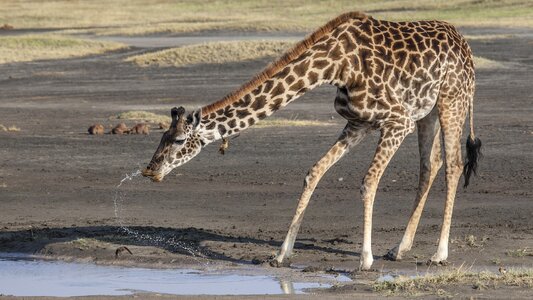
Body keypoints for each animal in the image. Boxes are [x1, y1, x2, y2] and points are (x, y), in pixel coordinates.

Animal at [141, 11, 482, 270]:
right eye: (162, 136)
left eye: (177, 140)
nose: (150, 170)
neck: (334, 66)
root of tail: (464, 45)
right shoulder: (358, 123)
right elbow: (313, 172)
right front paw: (280, 255)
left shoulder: (397, 120)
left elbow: (368, 181)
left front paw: (365, 259)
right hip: (427, 111)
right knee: (430, 165)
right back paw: (400, 249)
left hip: (452, 100)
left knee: (453, 164)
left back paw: (438, 253)